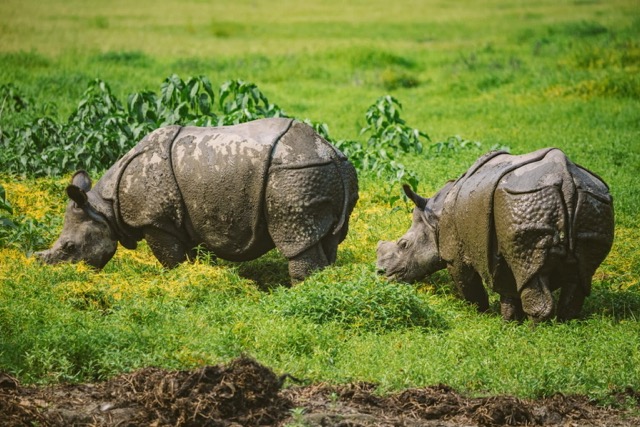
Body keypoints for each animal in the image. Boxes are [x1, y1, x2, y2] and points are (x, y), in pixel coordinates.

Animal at [36, 118, 359, 282]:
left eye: (69, 248)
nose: (56, 274)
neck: (104, 207)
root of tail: (329, 151)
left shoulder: (155, 221)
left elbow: (171, 259)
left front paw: (176, 282)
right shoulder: (178, 220)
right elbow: (186, 255)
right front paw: (194, 276)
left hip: (294, 174)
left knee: (295, 238)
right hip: (324, 172)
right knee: (327, 238)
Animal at [377, 148, 614, 322]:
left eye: (404, 244)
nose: (381, 273)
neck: (434, 217)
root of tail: (565, 177)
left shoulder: (454, 252)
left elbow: (467, 282)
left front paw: (481, 313)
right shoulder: (499, 243)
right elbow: (508, 286)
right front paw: (510, 321)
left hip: (523, 199)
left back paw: (538, 333)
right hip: (592, 200)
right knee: (580, 273)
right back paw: (566, 323)